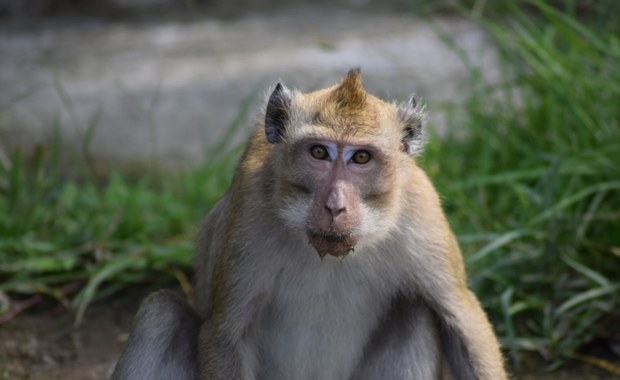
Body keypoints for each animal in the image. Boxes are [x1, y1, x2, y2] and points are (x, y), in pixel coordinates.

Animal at [112, 69, 508, 380]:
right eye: (319, 152)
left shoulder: (420, 211)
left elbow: (461, 320)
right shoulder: (250, 214)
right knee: (161, 314)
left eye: (361, 158)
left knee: (415, 311)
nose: (335, 206)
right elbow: (225, 336)